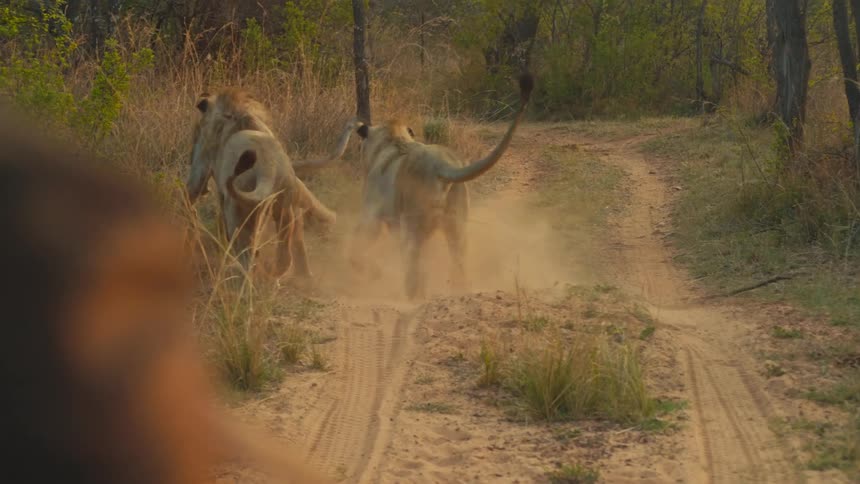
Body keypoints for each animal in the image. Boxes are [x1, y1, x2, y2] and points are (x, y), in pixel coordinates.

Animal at [186, 88, 359, 277]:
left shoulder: (203, 158)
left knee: (250, 255)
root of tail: (269, 166)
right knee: (287, 255)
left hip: (240, 212)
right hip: (286, 208)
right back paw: (300, 276)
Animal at [350, 73, 534, 299]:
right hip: (457, 226)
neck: (393, 139)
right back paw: (458, 292)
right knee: (457, 262)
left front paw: (374, 273)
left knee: (414, 266)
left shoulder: (371, 215)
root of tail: (441, 165)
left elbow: (356, 250)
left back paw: (413, 298)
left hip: (412, 226)